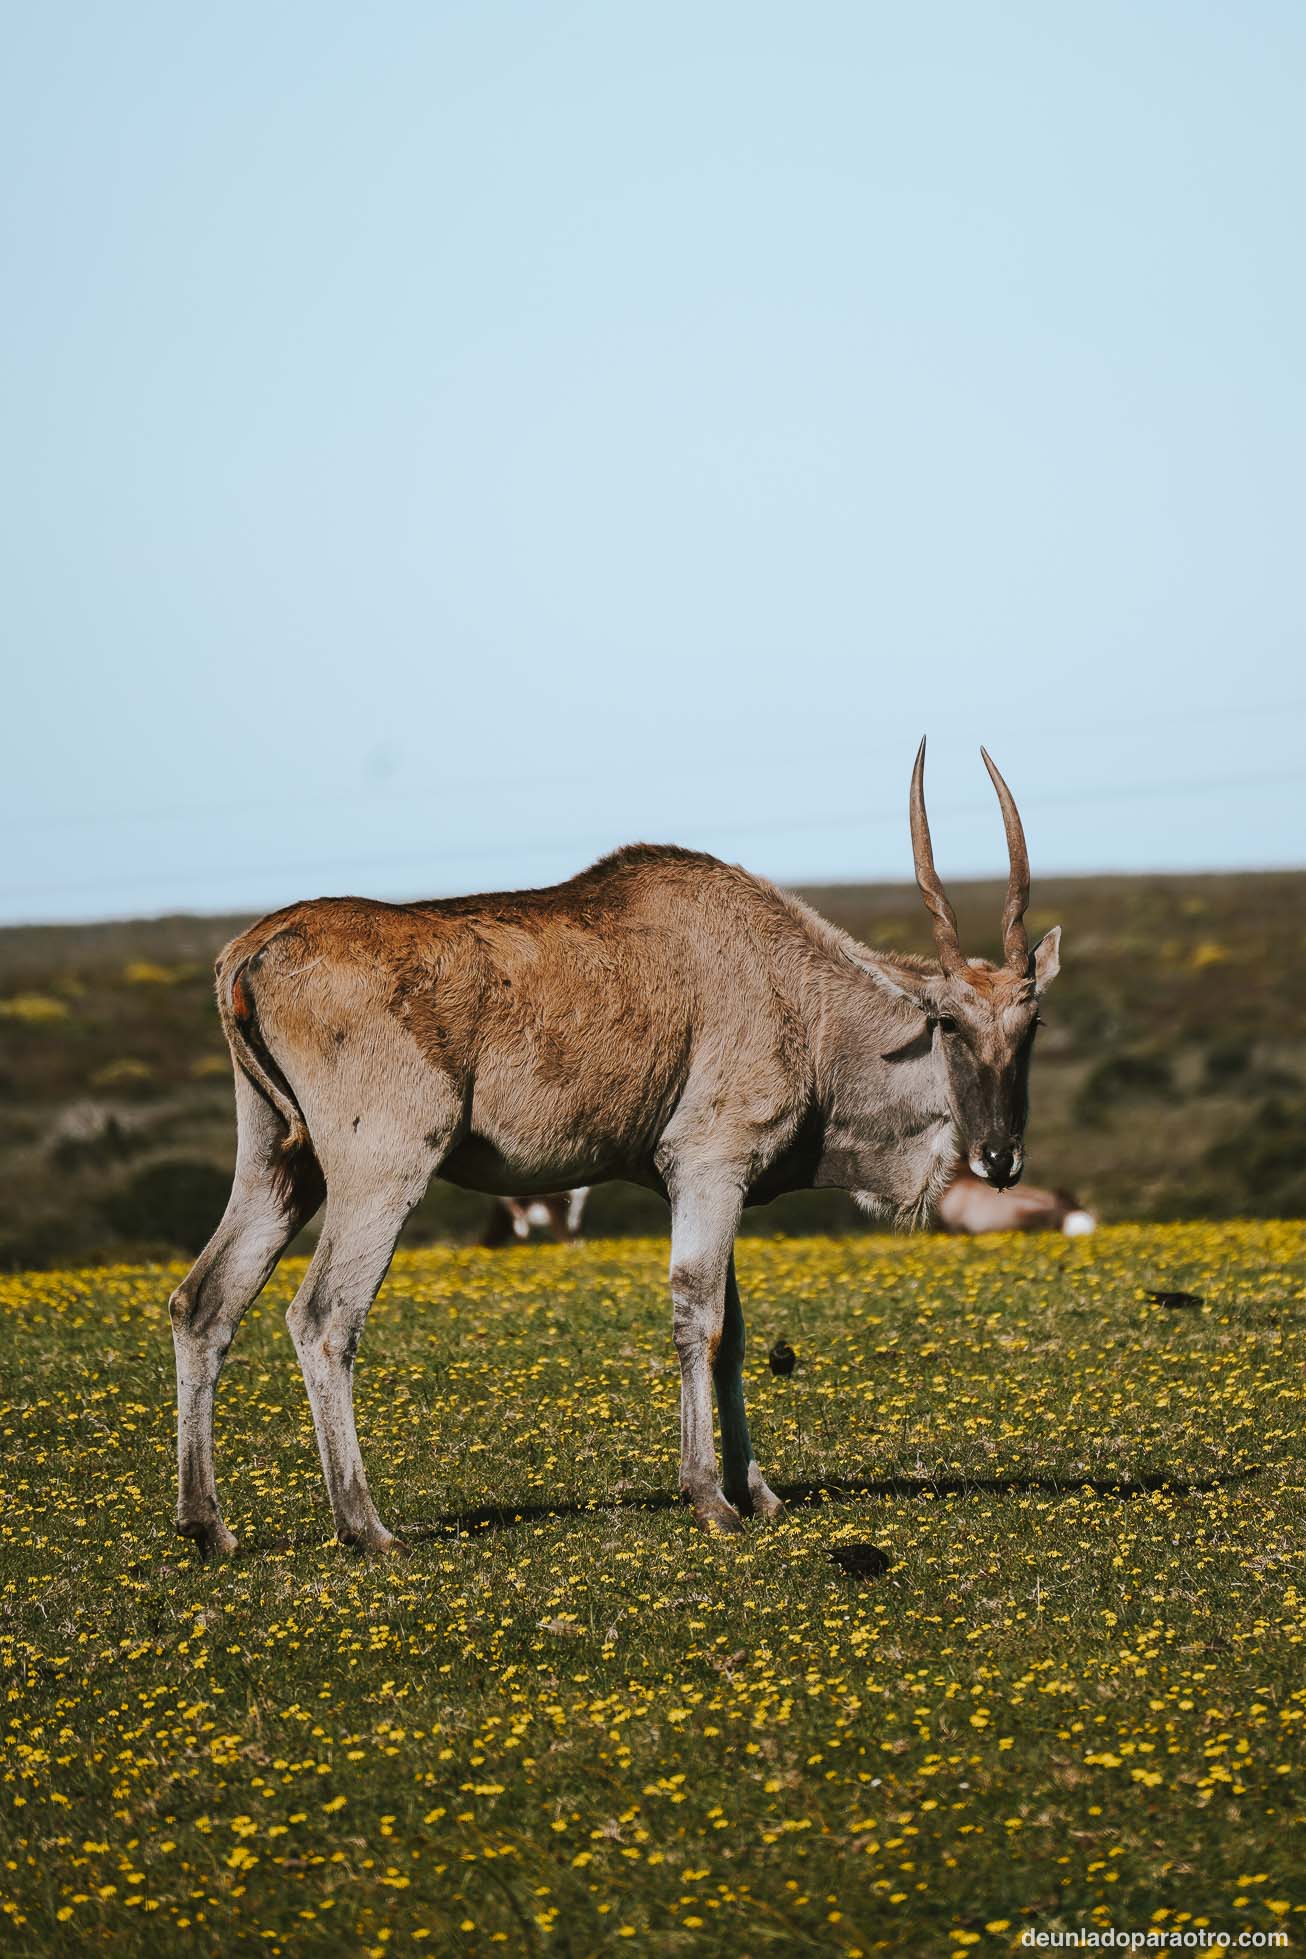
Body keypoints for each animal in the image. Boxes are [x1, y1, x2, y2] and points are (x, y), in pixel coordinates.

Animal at [168, 740, 1065, 1551]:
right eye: (949, 1022)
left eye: (1032, 1024)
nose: (998, 1158)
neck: (796, 994)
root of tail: (252, 950)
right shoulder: (708, 1167)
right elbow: (698, 1315)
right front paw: (710, 1497)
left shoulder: (710, 1184)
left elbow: (734, 1333)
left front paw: (758, 1491)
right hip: (382, 1171)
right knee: (324, 1315)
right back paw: (365, 1525)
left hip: (281, 1167)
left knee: (204, 1303)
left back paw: (208, 1525)